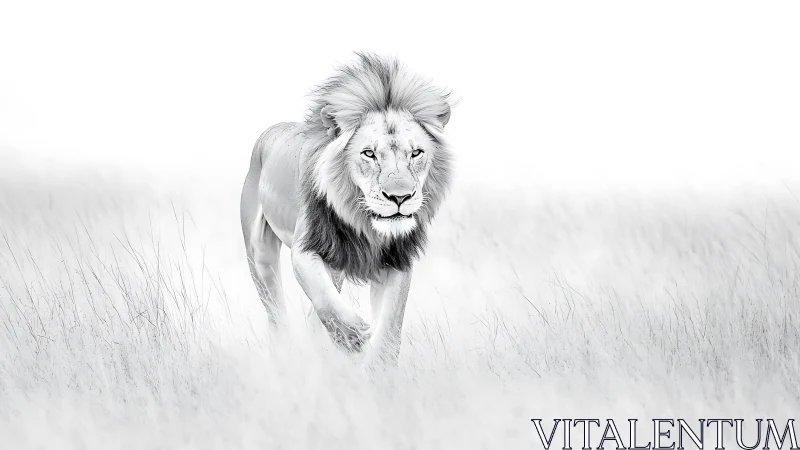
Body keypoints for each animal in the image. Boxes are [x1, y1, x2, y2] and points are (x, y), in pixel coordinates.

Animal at [239, 53, 453, 365]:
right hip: (260, 254)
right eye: (369, 153)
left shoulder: (397, 259)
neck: (364, 223)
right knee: (275, 308)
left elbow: (390, 326)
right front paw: (353, 337)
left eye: (416, 153)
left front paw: (378, 365)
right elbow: (325, 300)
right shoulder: (306, 250)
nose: (400, 197)